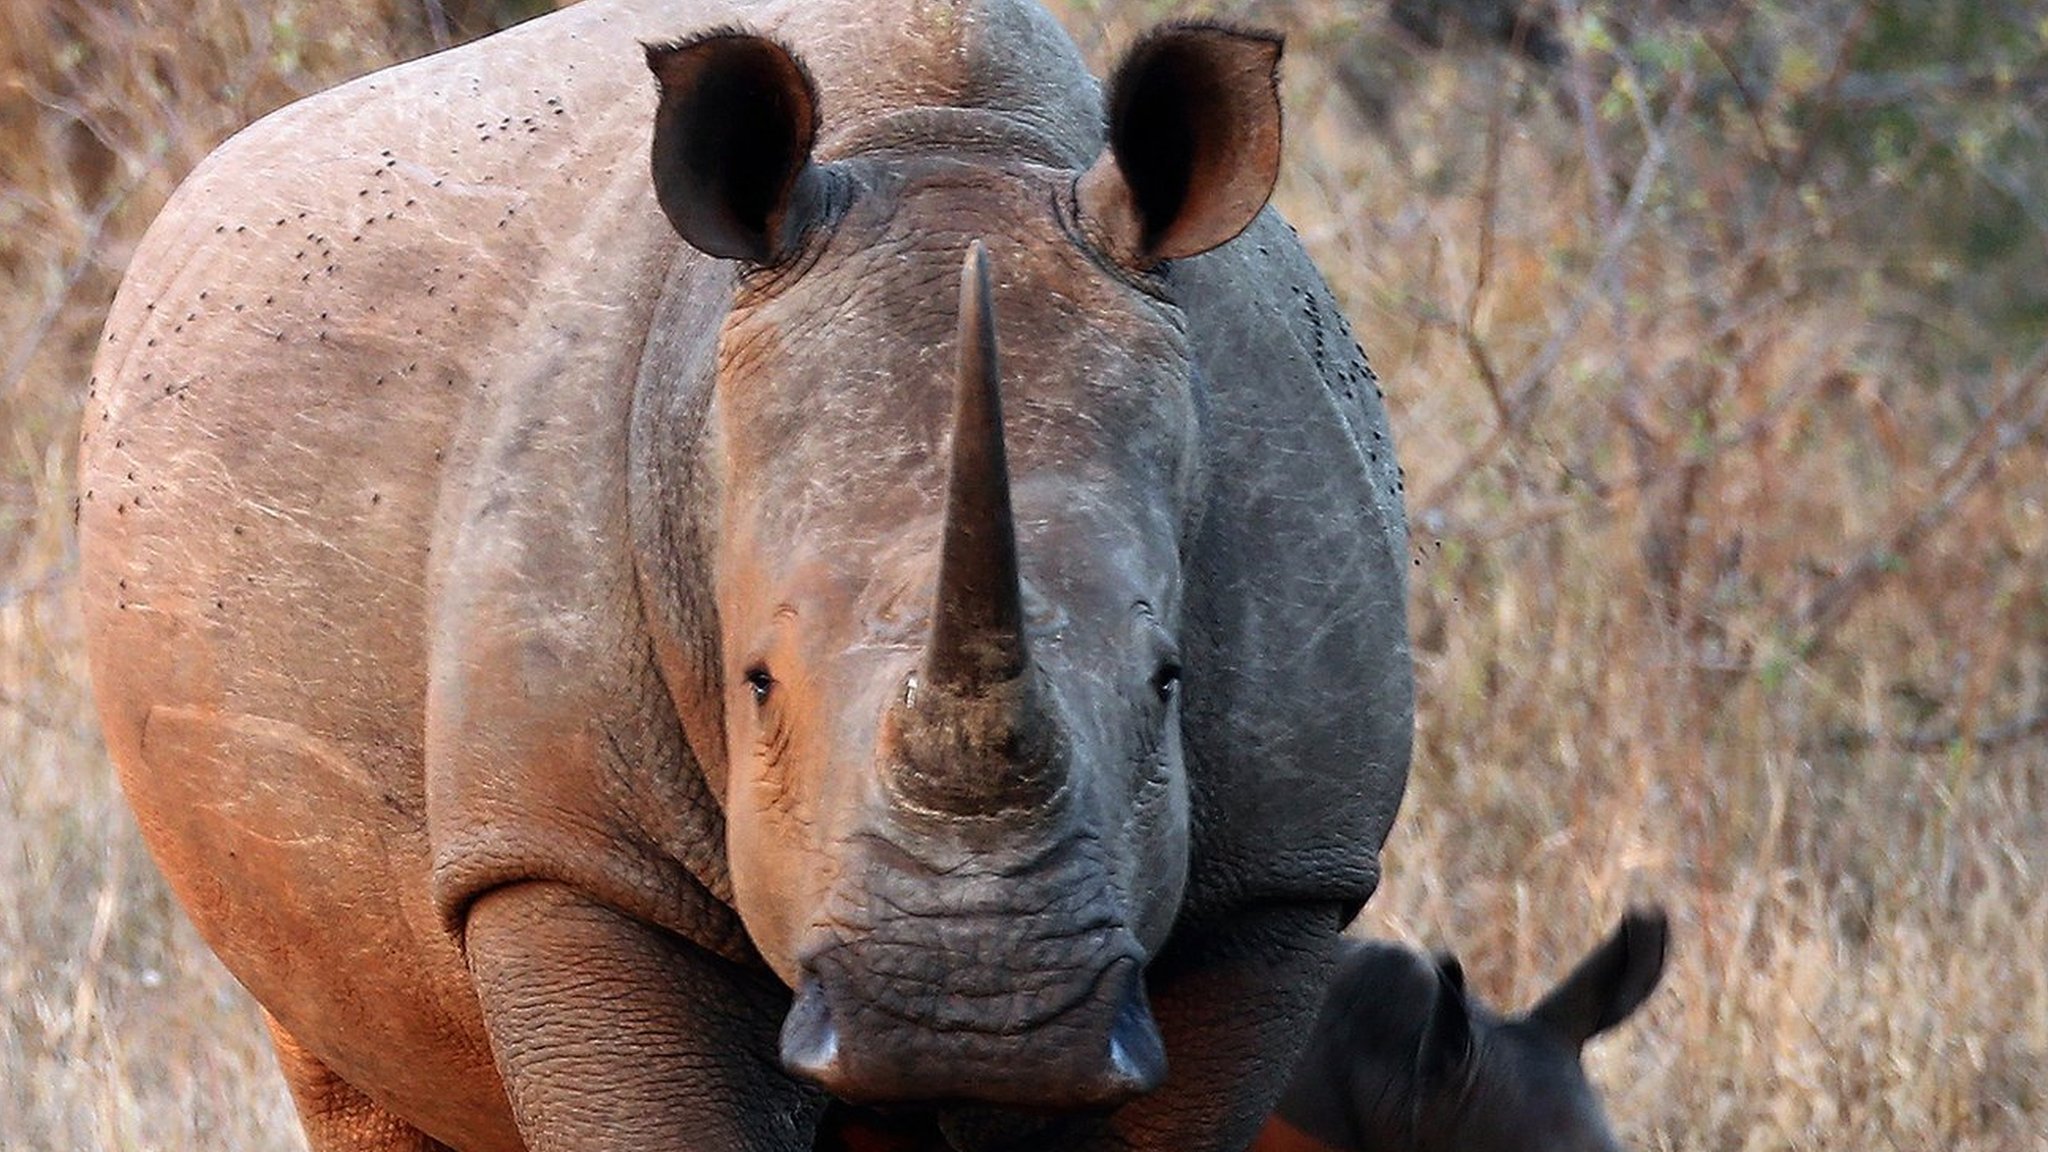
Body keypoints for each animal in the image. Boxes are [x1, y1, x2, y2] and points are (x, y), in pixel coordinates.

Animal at [76, 1, 1412, 1149]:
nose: (972, 1019)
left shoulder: (1278, 883)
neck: (944, 138)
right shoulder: (571, 854)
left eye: (1167, 682)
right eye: (756, 683)